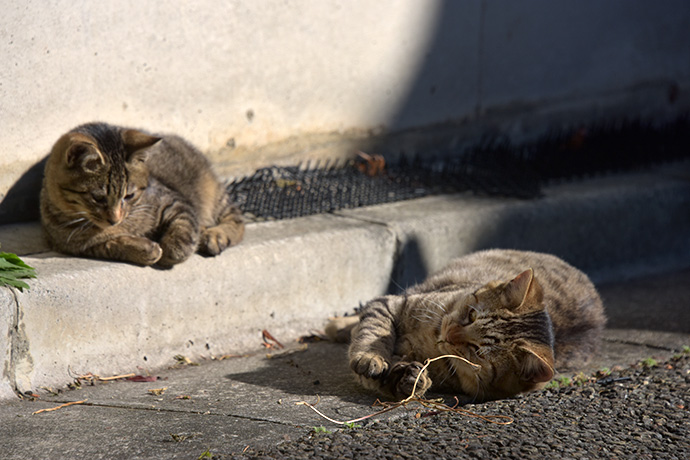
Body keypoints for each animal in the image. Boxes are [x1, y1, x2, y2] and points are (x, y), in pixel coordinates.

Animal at [41, 120, 245, 268]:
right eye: (98, 198)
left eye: (129, 196)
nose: (115, 220)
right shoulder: (81, 247)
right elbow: (113, 244)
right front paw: (145, 249)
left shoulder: (174, 201)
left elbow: (184, 228)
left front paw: (171, 251)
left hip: (214, 196)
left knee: (237, 221)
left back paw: (214, 235)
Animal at [330, 248, 604, 402]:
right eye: (471, 315)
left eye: (477, 351)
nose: (449, 333)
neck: (429, 339)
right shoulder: (392, 303)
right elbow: (374, 331)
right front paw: (370, 357)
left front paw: (411, 380)